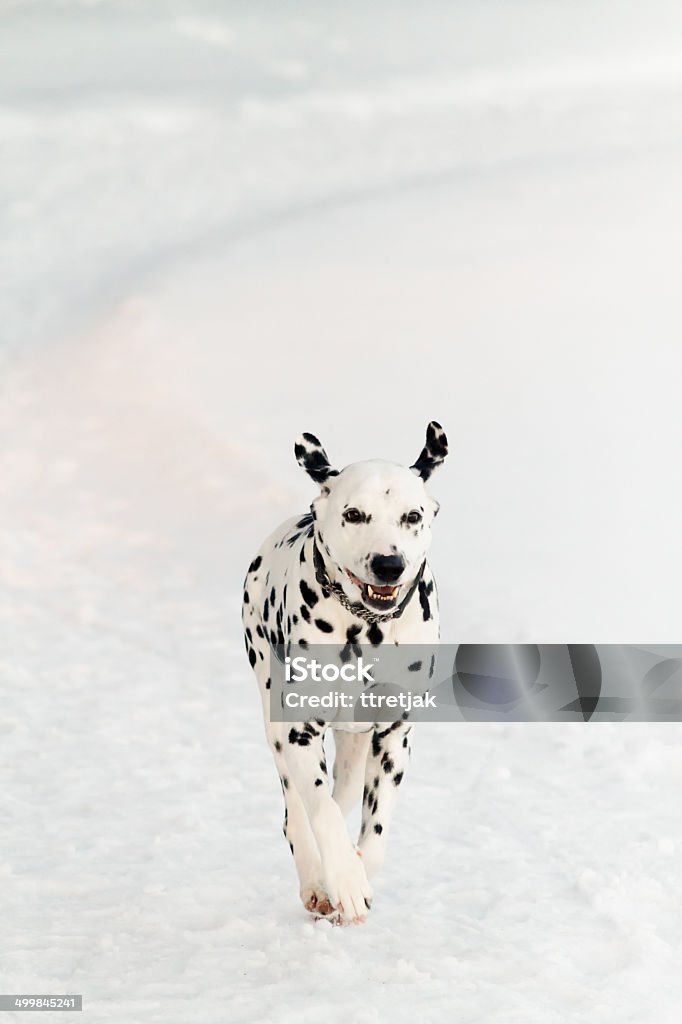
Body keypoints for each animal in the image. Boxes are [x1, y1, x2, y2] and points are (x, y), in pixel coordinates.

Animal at [241, 419, 448, 925]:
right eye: (354, 515)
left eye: (412, 516)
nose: (389, 564)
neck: (366, 629)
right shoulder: (298, 732)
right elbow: (321, 811)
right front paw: (344, 883)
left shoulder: (394, 738)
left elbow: (374, 830)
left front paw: (358, 873)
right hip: (275, 722)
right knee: (298, 811)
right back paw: (317, 880)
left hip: (355, 748)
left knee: (344, 793)